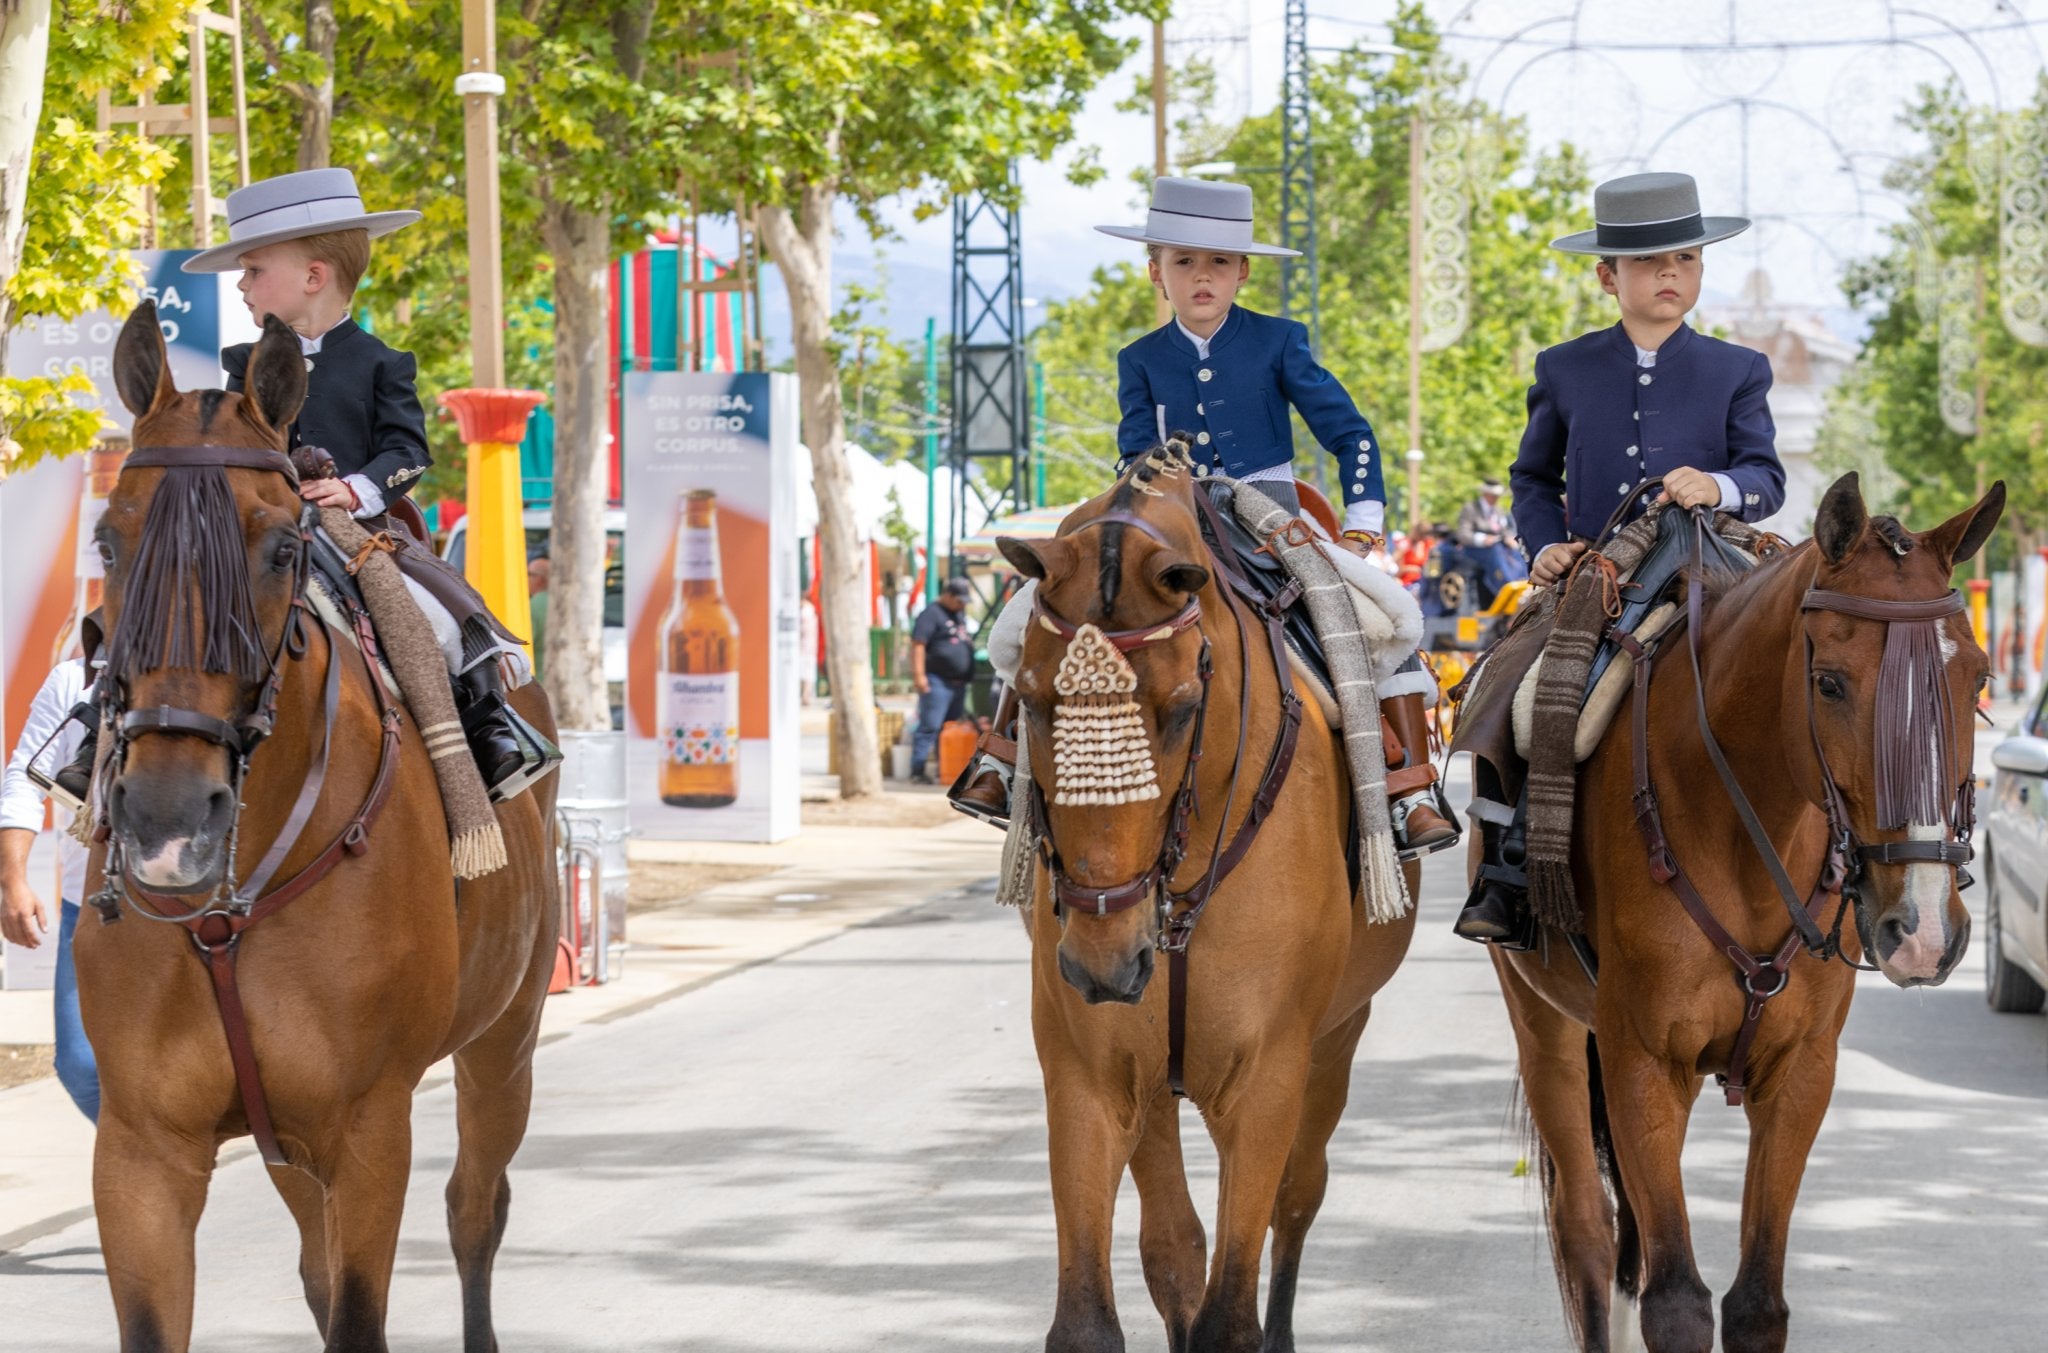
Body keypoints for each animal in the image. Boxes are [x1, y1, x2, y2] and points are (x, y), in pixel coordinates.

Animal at [74, 302, 561, 1350]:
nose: (168, 822)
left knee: (474, 1209)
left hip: (504, 1043)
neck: (230, 903)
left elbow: (360, 1310)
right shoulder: (141, 1149)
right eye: (108, 542)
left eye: (282, 550)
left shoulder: (369, 1130)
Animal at [1003, 446, 1425, 1350]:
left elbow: (1231, 1309)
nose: (1103, 956)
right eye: (1028, 697)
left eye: (1182, 707)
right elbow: (1110, 1302)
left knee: (1298, 1198)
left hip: (1336, 1036)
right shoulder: (1092, 1072)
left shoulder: (1268, 1076)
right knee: (1177, 1243)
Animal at [1499, 474, 2007, 1350]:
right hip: (1548, 1028)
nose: (1923, 930)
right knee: (1588, 1230)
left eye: (1975, 678)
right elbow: (1675, 1300)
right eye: (1828, 680)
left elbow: (1756, 1303)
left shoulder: (1801, 1073)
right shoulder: (1644, 1065)